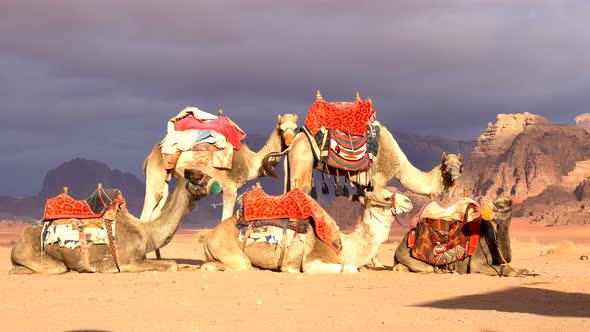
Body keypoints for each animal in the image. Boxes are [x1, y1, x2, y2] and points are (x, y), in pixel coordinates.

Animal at [9, 169, 216, 274]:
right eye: (198, 176)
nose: (217, 184)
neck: (147, 233)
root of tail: (17, 241)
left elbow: (172, 262)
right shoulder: (126, 262)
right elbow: (172, 265)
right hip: (33, 254)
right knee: (54, 268)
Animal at [143, 112, 298, 223]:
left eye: (295, 128)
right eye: (281, 128)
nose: (289, 142)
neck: (250, 162)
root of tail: (152, 154)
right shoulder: (230, 189)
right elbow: (225, 219)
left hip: (166, 178)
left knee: (157, 208)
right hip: (156, 173)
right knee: (148, 209)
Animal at [201, 188, 414, 274]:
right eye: (386, 198)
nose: (409, 201)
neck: (343, 246)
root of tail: (210, 235)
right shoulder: (309, 261)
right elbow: (351, 268)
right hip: (230, 251)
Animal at [394, 198, 532, 276]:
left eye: (502, 206)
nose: (484, 211)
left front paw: (528, 271)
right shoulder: (477, 263)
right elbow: (505, 269)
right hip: (409, 256)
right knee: (425, 268)